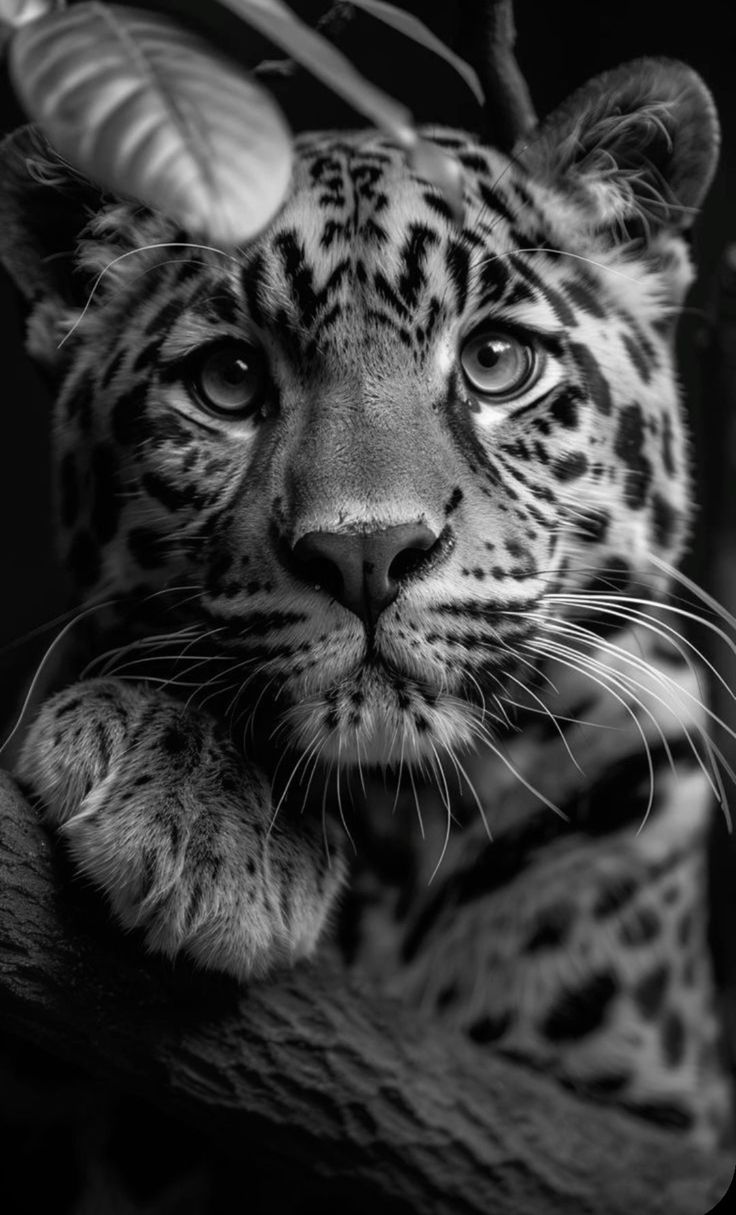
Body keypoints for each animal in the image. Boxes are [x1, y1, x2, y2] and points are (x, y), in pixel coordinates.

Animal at [0, 57, 733, 1151]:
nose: (366, 552)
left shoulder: (658, 1111)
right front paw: (200, 799)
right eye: (228, 380)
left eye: (495, 362)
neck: (394, 829)